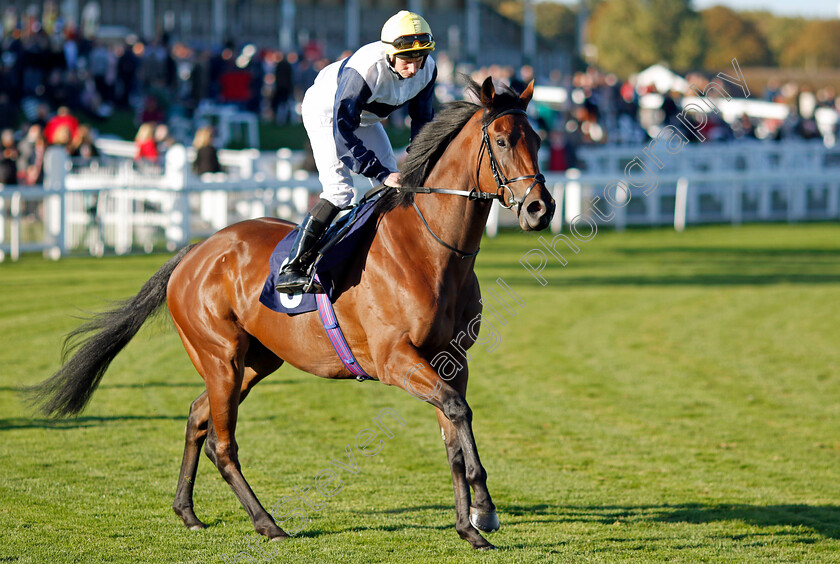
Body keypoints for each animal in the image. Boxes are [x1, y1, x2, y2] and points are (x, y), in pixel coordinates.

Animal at [29, 76, 556, 552]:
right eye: (503, 140)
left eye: (538, 140)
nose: (540, 208)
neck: (428, 250)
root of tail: (197, 249)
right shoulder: (394, 359)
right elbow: (457, 411)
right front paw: (484, 509)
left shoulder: (451, 359)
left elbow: (453, 431)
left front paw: (472, 524)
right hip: (220, 356)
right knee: (223, 443)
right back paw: (268, 523)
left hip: (256, 360)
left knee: (199, 416)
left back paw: (188, 512)